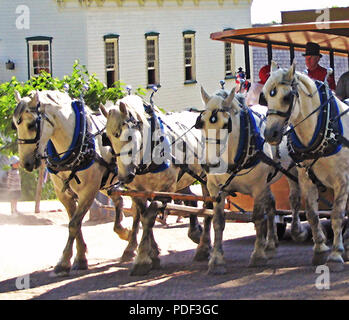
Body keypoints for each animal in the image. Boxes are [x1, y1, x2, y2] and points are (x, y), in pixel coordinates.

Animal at [12, 89, 132, 276]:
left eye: (31, 125)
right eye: (14, 125)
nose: (26, 163)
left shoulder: (88, 191)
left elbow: (74, 224)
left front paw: (65, 261)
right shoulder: (63, 193)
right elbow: (74, 222)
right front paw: (79, 257)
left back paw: (131, 246)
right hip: (106, 183)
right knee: (120, 201)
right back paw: (124, 233)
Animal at [99, 94, 211, 276]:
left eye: (128, 137)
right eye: (107, 139)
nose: (124, 176)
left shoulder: (164, 191)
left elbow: (149, 217)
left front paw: (143, 260)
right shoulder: (138, 192)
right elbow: (144, 216)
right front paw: (153, 254)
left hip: (207, 178)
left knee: (208, 207)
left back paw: (204, 247)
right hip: (184, 179)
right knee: (192, 200)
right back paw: (195, 233)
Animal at [196, 86, 302, 274]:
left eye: (226, 125)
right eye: (201, 123)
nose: (209, 164)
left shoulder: (257, 187)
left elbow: (258, 218)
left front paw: (258, 255)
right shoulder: (215, 189)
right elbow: (218, 222)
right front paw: (216, 260)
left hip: (292, 169)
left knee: (295, 198)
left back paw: (296, 230)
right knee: (271, 204)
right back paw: (271, 243)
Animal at [264, 62, 348, 270]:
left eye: (287, 97)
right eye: (266, 96)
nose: (270, 134)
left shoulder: (342, 180)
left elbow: (336, 214)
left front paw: (336, 253)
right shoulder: (305, 178)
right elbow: (311, 213)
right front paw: (320, 248)